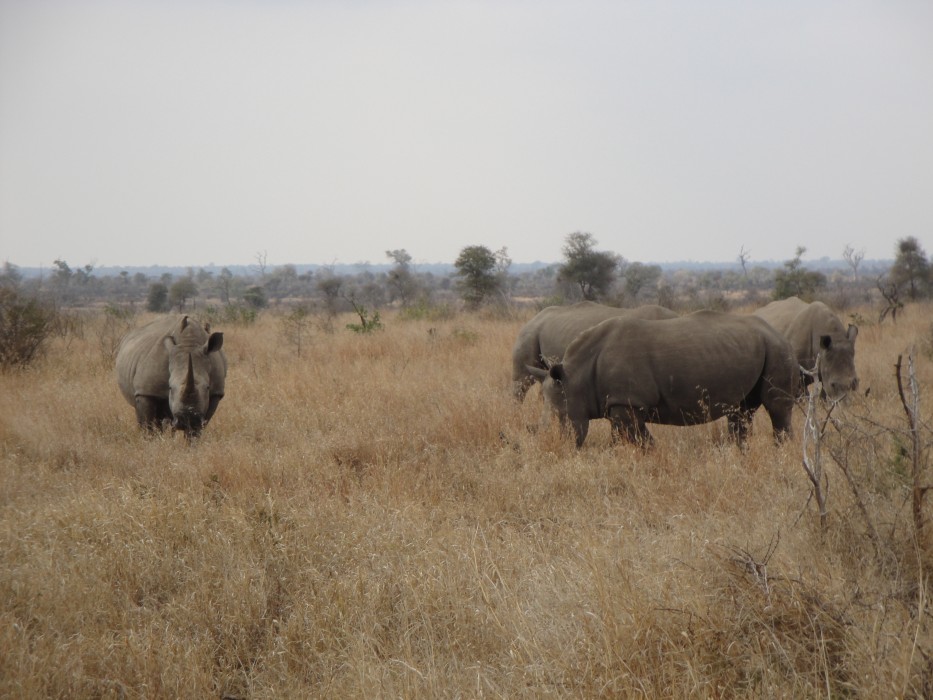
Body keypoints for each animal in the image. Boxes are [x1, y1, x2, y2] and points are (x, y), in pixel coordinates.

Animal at [527, 311, 798, 447]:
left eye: (560, 419)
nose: (551, 447)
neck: (576, 375)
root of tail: (777, 332)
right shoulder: (619, 403)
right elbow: (624, 437)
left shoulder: (627, 402)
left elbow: (638, 438)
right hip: (757, 347)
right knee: (742, 410)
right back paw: (735, 453)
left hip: (777, 349)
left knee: (776, 407)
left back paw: (781, 453)